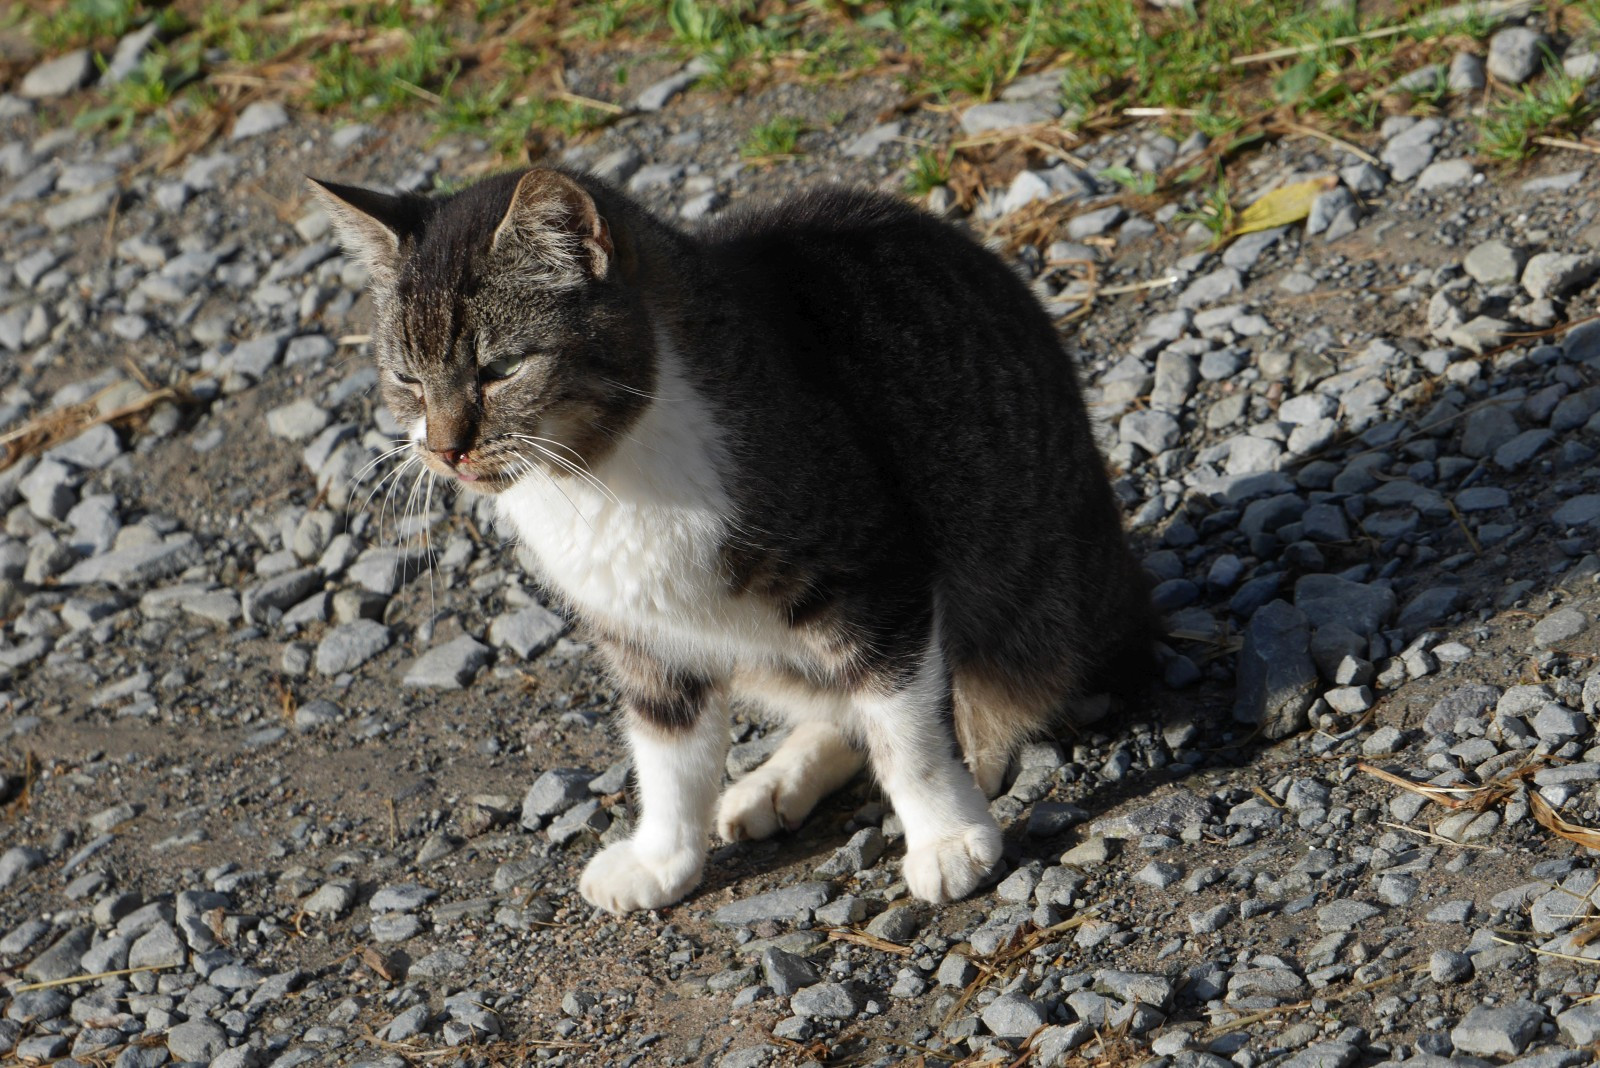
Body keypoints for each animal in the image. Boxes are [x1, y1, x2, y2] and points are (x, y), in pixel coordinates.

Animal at [308, 165, 1156, 914]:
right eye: (406, 379)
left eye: (501, 368)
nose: (443, 449)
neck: (598, 470)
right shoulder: (640, 633)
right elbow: (666, 754)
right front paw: (662, 859)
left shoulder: (872, 573)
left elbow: (906, 727)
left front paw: (946, 837)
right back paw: (774, 781)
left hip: (1035, 598)